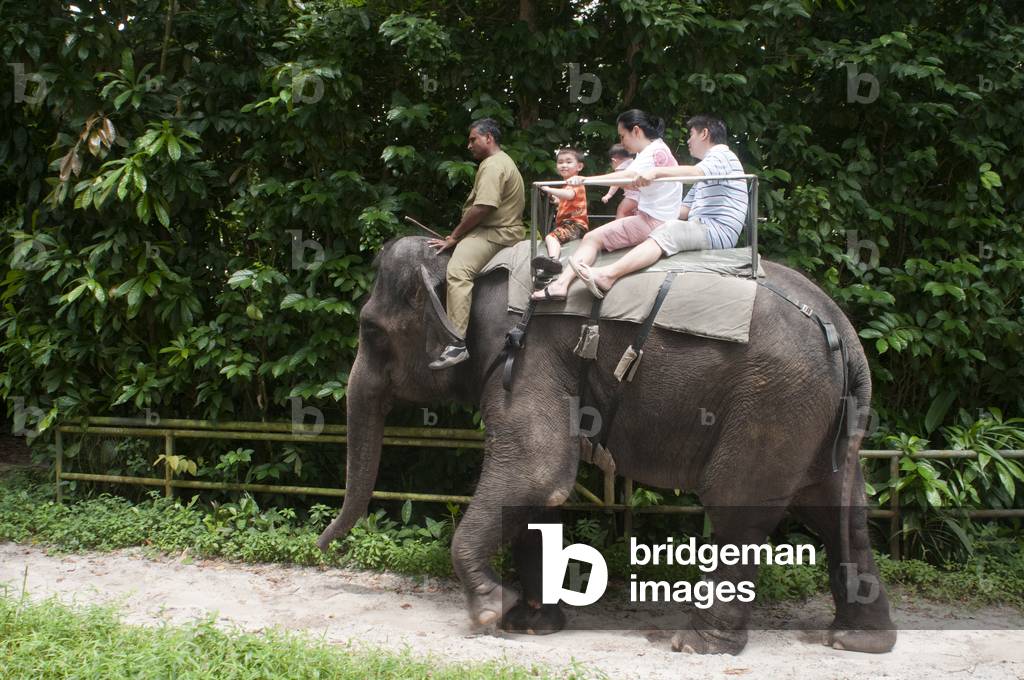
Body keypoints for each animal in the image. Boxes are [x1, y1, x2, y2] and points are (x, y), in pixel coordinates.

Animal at [316, 235, 897, 656]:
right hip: (822, 416)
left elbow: (538, 473)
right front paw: (532, 625)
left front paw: (492, 611)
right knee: (839, 511)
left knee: (739, 508)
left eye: (371, 332)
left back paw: (696, 645)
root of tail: (844, 334)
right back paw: (858, 641)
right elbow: (541, 491)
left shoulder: (523, 352)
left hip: (774, 400)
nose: (321, 547)